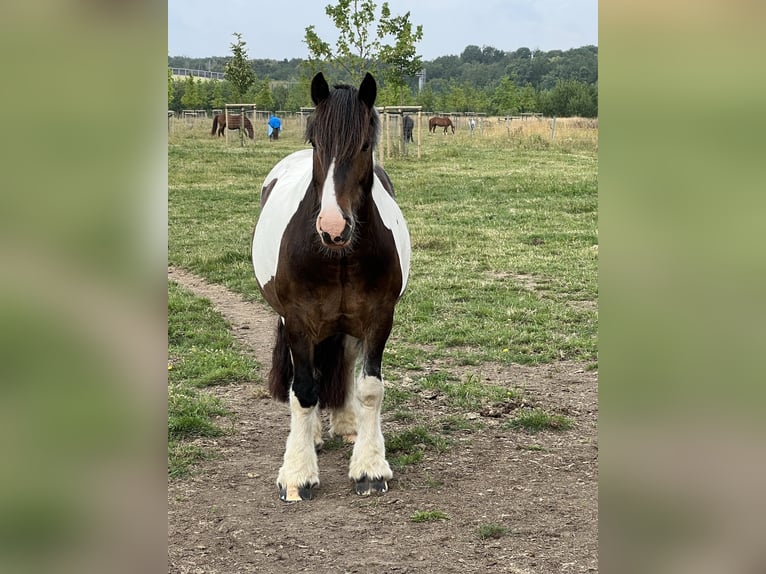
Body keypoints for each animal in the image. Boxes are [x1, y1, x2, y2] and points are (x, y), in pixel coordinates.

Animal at [252, 72, 411, 502]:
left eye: (365, 144)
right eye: (316, 143)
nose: (333, 227)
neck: (338, 256)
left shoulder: (378, 319)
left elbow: (369, 389)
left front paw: (369, 467)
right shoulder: (298, 322)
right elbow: (304, 390)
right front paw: (297, 473)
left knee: (343, 363)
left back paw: (345, 424)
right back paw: (314, 437)